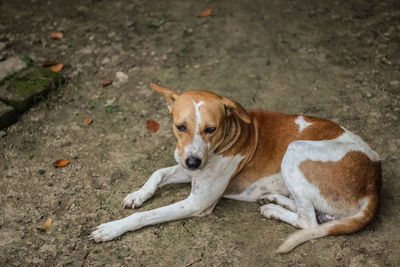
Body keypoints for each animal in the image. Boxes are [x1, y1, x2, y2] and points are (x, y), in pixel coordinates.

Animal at [90, 83, 382, 253]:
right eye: (180, 126)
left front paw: (112, 228)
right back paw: (275, 200)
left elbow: (145, 216)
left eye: (211, 129)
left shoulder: (197, 203)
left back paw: (274, 209)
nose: (193, 163)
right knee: (316, 216)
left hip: (295, 150)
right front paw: (137, 195)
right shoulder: (186, 167)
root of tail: (374, 183)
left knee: (308, 221)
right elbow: (158, 173)